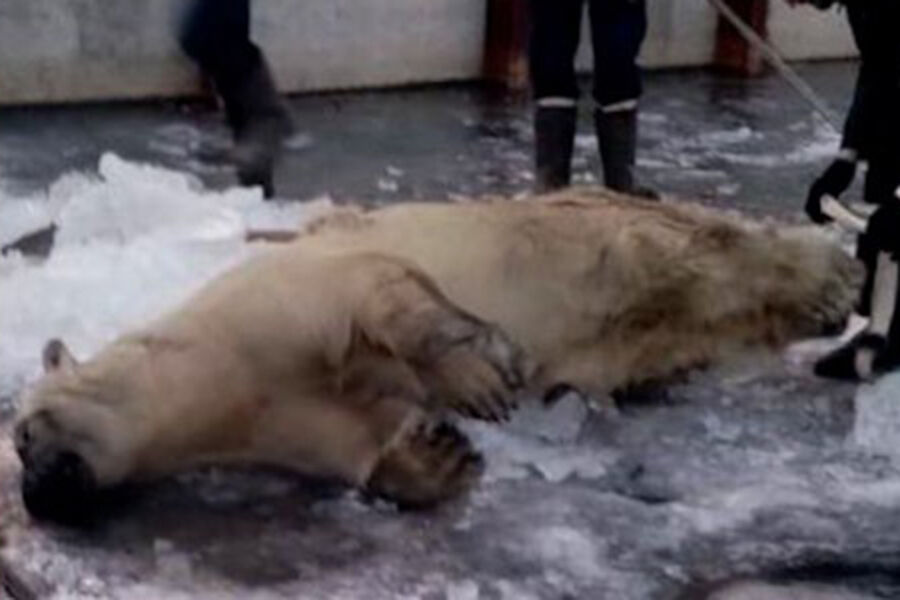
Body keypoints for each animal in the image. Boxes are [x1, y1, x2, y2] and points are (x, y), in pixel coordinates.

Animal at [13, 187, 862, 524]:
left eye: (21, 435)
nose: (32, 496)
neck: (223, 379)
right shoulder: (284, 418)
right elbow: (362, 448)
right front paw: (439, 456)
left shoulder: (277, 300)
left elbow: (385, 295)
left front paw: (483, 379)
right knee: (689, 323)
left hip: (591, 235)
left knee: (693, 254)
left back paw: (836, 274)